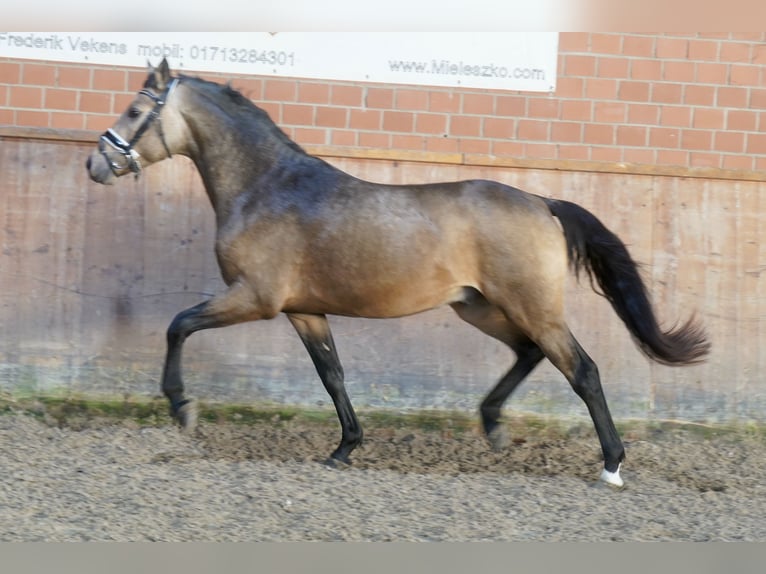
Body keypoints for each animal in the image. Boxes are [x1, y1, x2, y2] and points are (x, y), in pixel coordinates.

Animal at [87, 60, 712, 488]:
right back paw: (493, 426)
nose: (96, 163)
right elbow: (332, 375)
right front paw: (345, 448)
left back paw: (610, 465)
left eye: (136, 112)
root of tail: (543, 202)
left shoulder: (255, 299)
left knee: (582, 370)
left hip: (530, 307)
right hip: (481, 307)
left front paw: (182, 407)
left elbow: (178, 324)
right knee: (529, 353)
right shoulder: (304, 311)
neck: (265, 187)